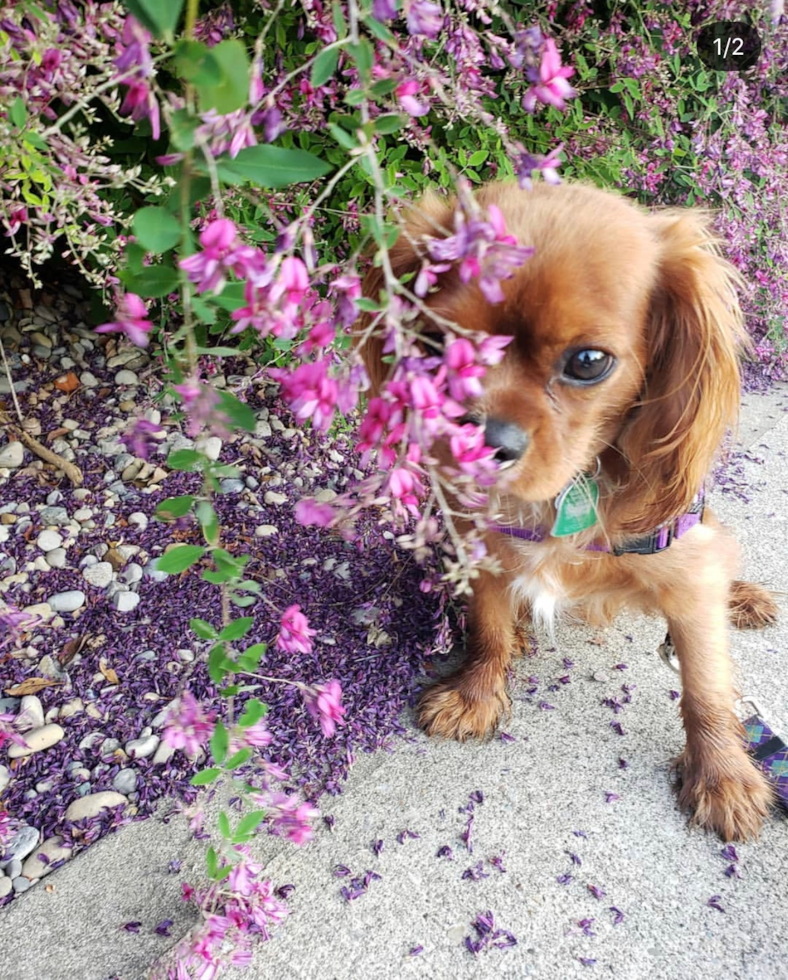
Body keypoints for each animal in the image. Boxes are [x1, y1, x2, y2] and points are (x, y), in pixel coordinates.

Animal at [358, 180, 780, 840]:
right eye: (437, 343)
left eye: (588, 362)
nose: (476, 440)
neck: (560, 499)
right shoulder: (482, 550)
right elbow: (486, 628)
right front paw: (476, 694)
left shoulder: (688, 575)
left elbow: (705, 681)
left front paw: (722, 776)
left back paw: (744, 597)